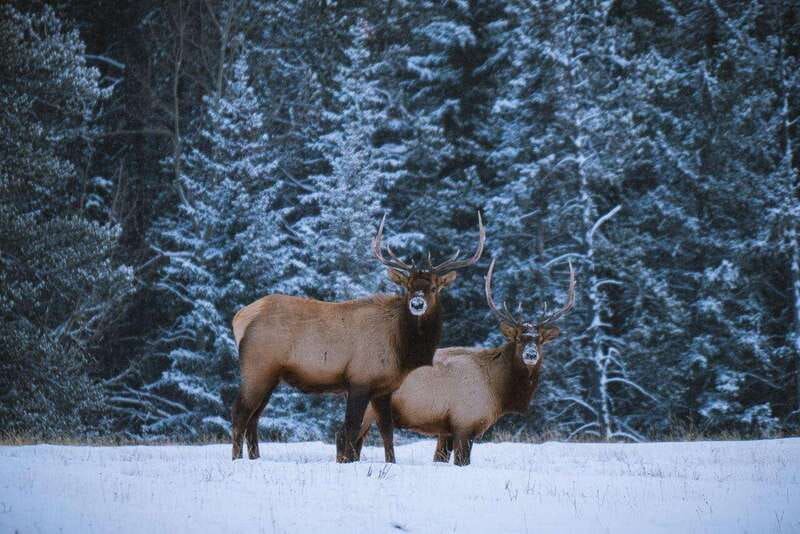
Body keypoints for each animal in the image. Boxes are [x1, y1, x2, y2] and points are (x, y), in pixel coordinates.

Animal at [230, 213, 485, 463]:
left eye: (433, 288)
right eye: (408, 287)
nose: (417, 303)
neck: (401, 349)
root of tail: (240, 318)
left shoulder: (384, 388)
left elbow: (387, 430)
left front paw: (390, 463)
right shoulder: (359, 380)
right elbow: (351, 428)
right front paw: (346, 462)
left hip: (271, 376)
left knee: (254, 417)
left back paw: (254, 458)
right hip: (257, 368)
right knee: (240, 413)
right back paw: (236, 459)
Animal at [356, 258, 575, 466]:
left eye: (540, 341)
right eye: (519, 339)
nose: (530, 354)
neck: (497, 390)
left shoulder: (446, 430)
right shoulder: (464, 424)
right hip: (367, 410)